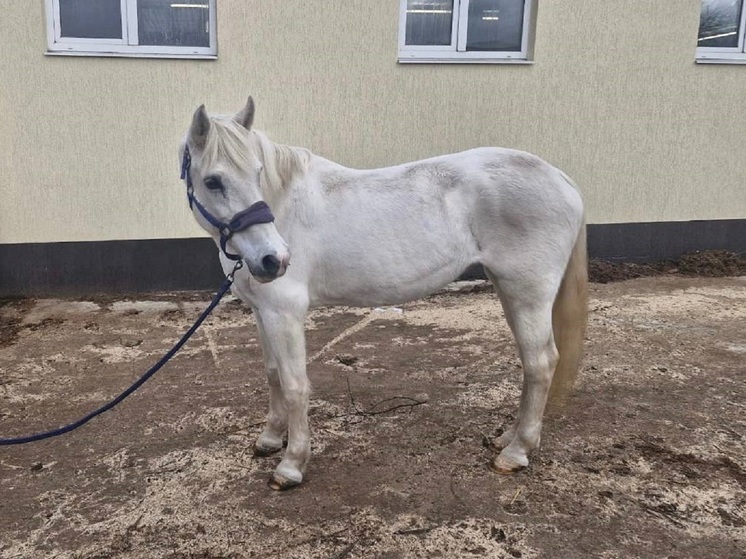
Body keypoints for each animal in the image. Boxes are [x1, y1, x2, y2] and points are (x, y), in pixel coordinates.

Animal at [180, 98, 588, 492]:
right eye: (213, 181)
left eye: (257, 173)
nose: (273, 260)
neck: (284, 207)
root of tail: (562, 179)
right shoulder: (263, 312)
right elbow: (273, 374)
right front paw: (269, 439)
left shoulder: (286, 312)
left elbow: (295, 385)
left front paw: (291, 464)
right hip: (509, 291)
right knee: (532, 364)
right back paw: (508, 438)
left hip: (528, 293)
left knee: (540, 363)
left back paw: (516, 453)